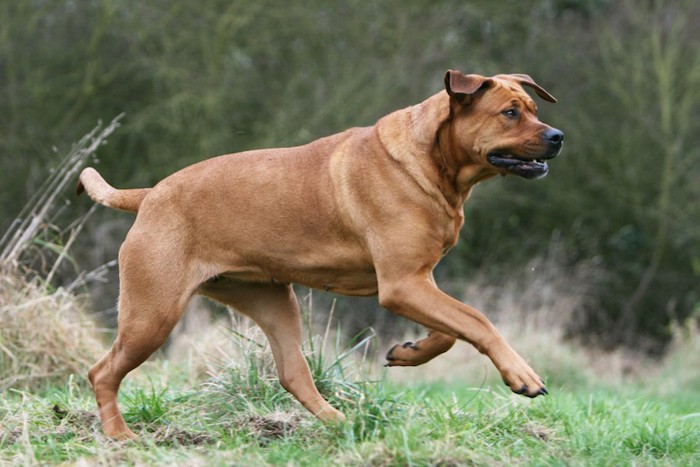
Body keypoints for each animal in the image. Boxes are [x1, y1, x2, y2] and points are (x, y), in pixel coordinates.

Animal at [79, 68, 568, 438]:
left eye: (534, 110)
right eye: (509, 113)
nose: (558, 136)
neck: (435, 164)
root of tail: (150, 195)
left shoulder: (416, 281)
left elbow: (452, 330)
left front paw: (408, 352)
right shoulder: (402, 285)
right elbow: (478, 321)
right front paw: (522, 376)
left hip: (272, 302)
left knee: (293, 373)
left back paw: (341, 423)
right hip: (152, 314)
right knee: (102, 373)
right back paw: (120, 437)